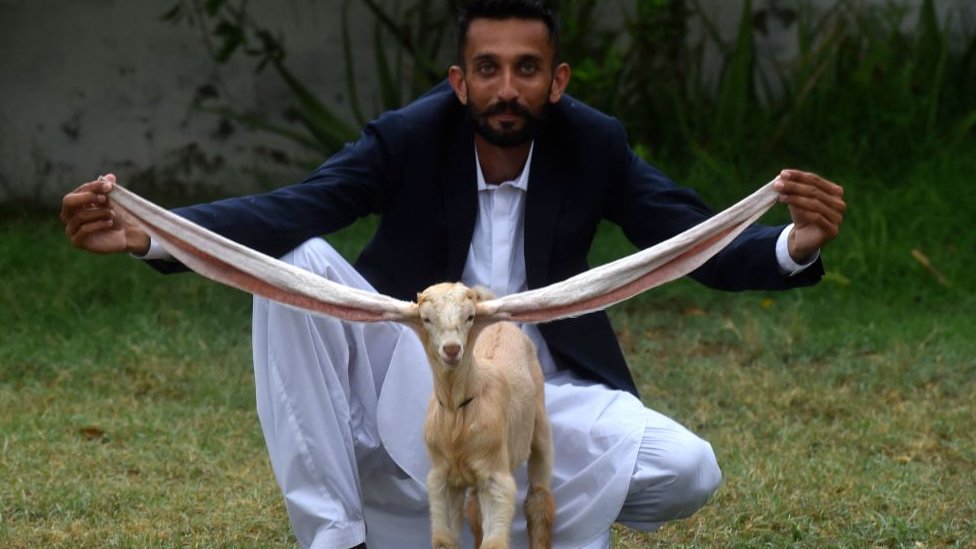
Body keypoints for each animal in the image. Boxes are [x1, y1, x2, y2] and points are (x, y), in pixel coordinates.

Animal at [416, 282, 552, 548]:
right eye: (426, 319)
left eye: (470, 317)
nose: (451, 349)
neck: (457, 413)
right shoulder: (442, 478)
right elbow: (444, 539)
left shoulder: (495, 477)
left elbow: (494, 542)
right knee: (474, 509)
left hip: (539, 422)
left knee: (540, 497)